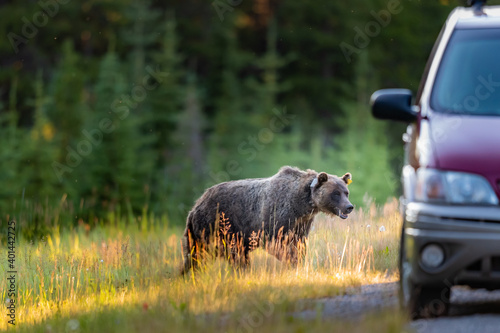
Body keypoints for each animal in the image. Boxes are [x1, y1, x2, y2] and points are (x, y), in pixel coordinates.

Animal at [180, 165, 352, 272]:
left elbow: (299, 245)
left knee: (194, 256)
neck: (303, 203)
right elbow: (278, 244)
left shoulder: (301, 224)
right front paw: (291, 263)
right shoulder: (275, 217)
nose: (349, 207)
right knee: (222, 254)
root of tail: (196, 206)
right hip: (216, 226)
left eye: (346, 192)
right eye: (336, 193)